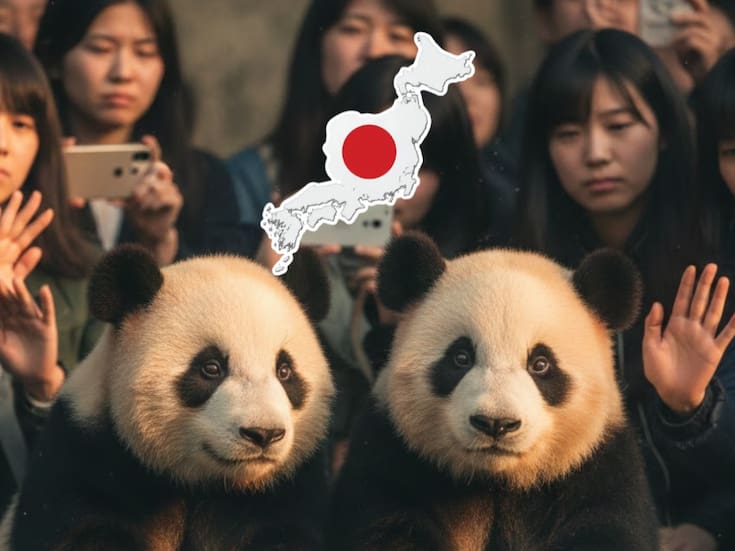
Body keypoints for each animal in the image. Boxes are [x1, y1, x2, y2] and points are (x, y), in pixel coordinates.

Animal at [0, 246, 335, 551]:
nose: (264, 433)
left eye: (285, 371)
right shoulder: (83, 456)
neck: (209, 483)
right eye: (211, 368)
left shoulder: (286, 491)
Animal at [328, 232, 659, 551]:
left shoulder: (598, 466)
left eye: (540, 364)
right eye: (461, 357)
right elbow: (388, 525)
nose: (496, 423)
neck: (496, 480)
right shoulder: (392, 455)